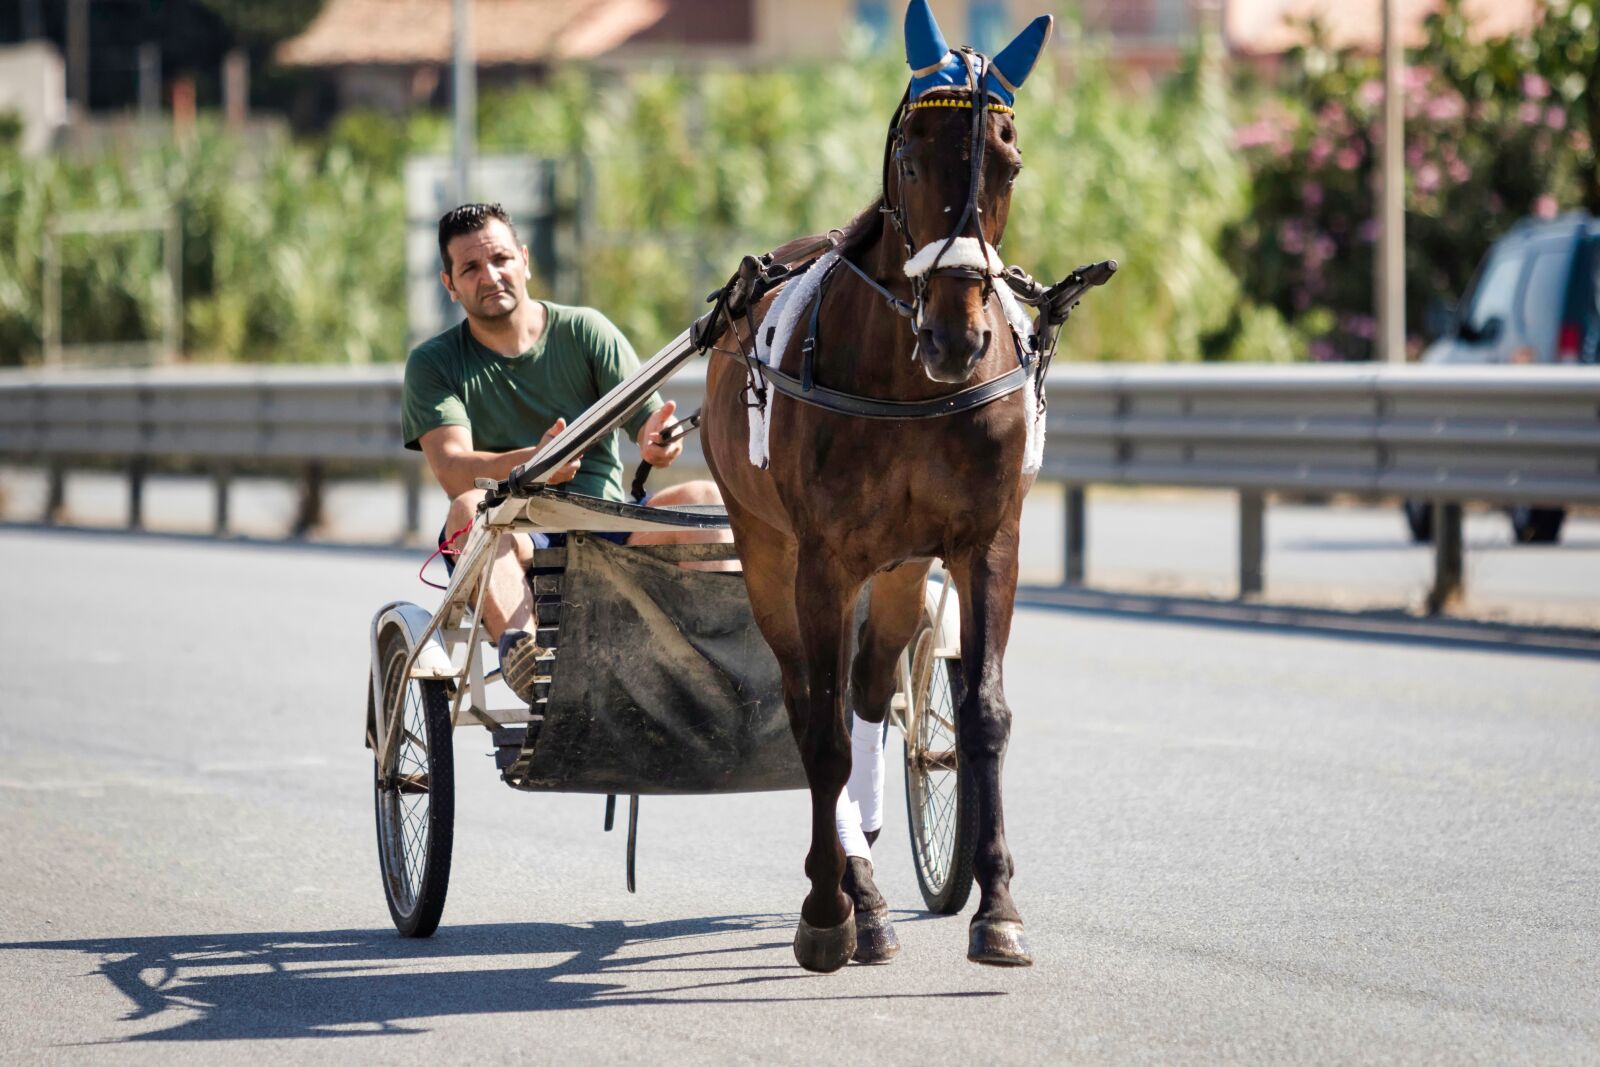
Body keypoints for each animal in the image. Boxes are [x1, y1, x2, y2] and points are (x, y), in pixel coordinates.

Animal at [704, 0, 1056, 972]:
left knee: (866, 693)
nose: (957, 337)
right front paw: (825, 912)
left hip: (898, 569)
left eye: (1007, 160)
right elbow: (819, 736)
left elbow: (980, 714)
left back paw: (870, 886)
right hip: (767, 550)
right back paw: (846, 892)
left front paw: (997, 907)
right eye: (911, 157)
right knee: (809, 702)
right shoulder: (821, 557)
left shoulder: (986, 540)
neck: (907, 384)